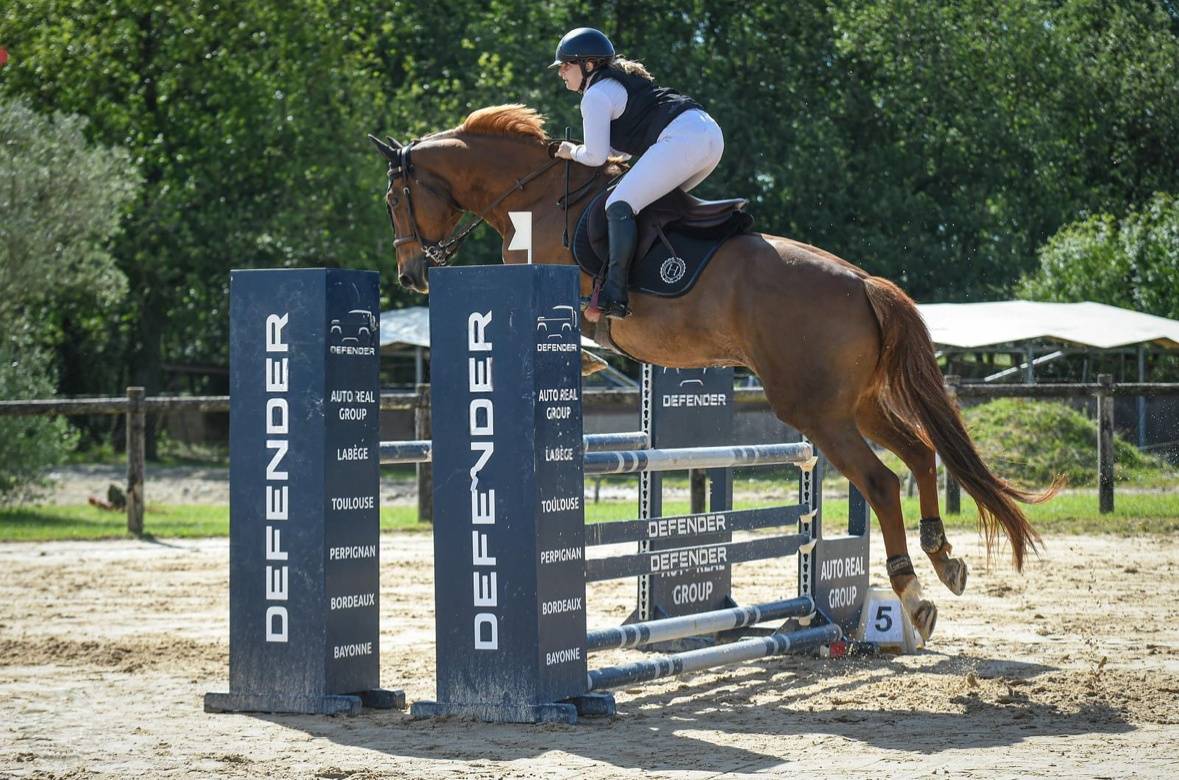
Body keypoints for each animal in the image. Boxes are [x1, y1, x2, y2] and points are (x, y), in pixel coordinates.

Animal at [370, 104, 1059, 640]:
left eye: (394, 199)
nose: (411, 274)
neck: (534, 195)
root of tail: (863, 282)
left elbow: (580, 332)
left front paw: (589, 358)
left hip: (814, 409)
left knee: (883, 483)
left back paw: (914, 598)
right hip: (853, 402)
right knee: (919, 453)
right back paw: (943, 559)